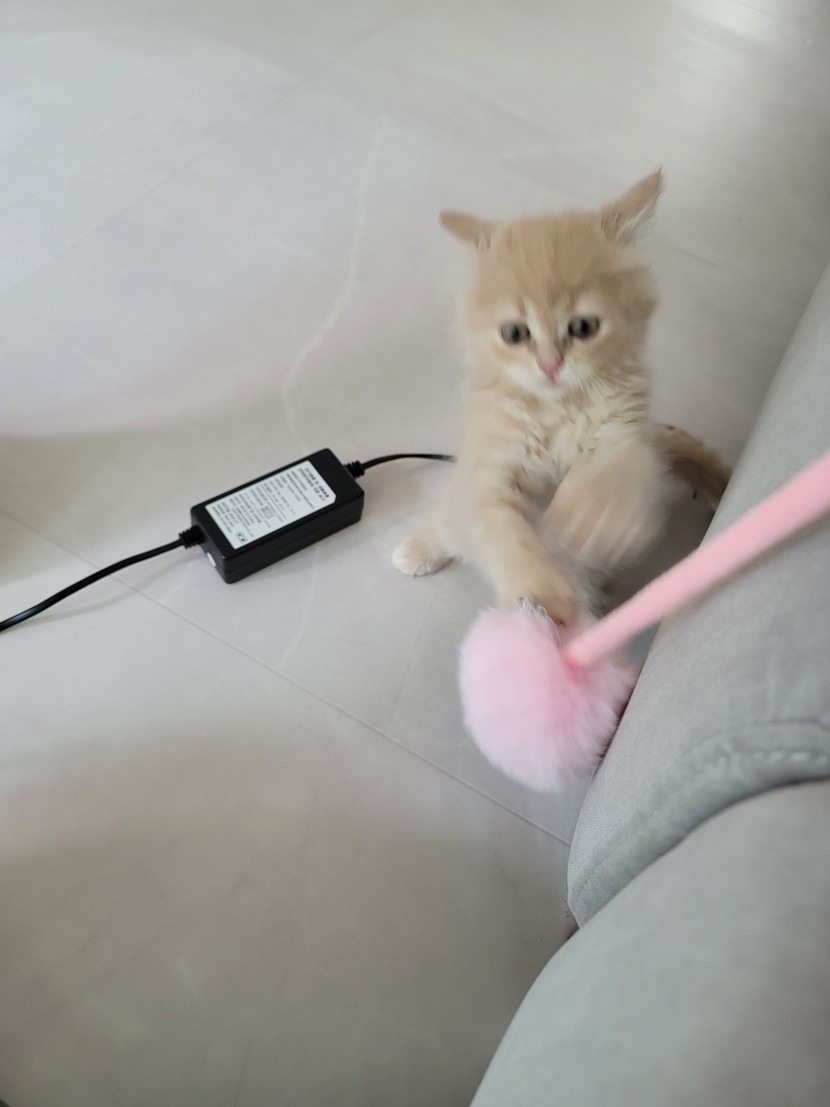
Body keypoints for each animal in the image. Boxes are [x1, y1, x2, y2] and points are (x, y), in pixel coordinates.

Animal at [393, 171, 730, 622]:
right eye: (514, 333)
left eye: (583, 327)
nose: (550, 366)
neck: (558, 410)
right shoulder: (489, 473)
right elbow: (505, 536)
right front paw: (541, 599)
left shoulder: (627, 435)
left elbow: (621, 471)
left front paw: (589, 513)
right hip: (457, 500)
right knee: (451, 524)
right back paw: (418, 550)